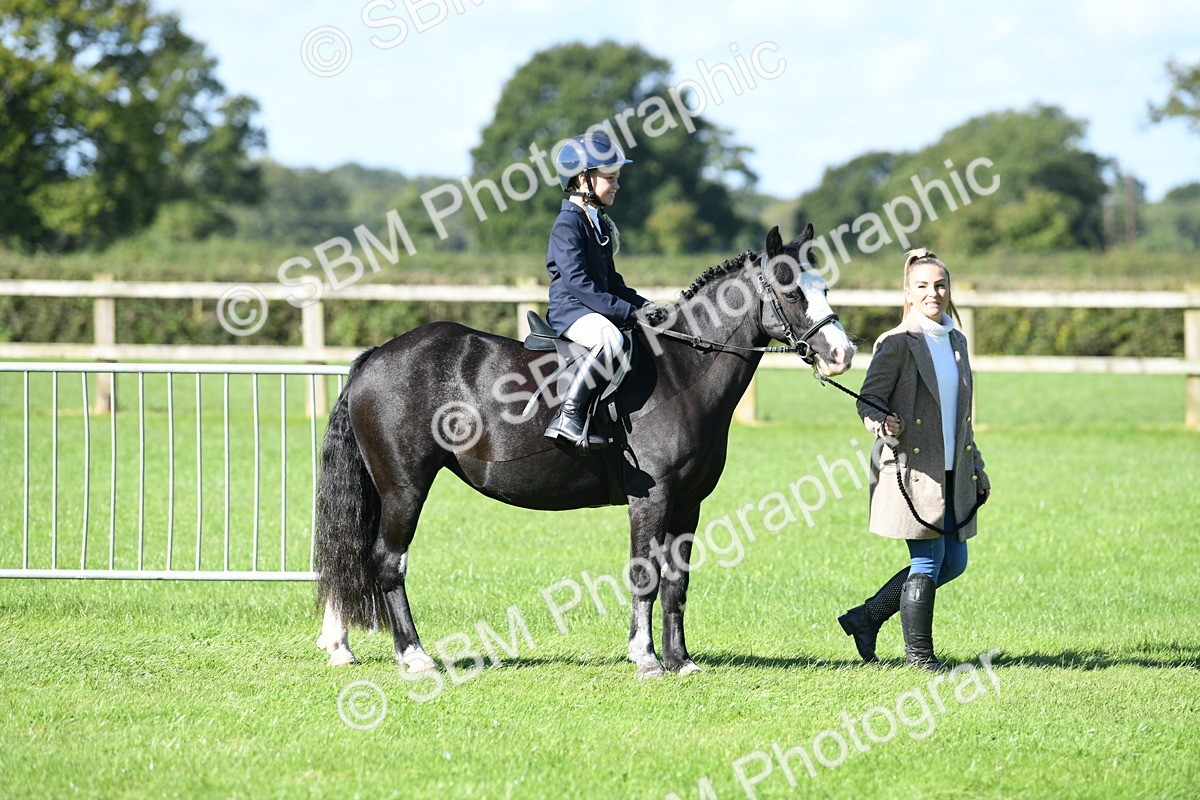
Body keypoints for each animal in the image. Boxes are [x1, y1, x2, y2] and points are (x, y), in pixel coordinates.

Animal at [314, 224, 856, 678]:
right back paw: (416, 657)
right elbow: (644, 575)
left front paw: (681, 661)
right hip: (404, 488)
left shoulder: (688, 503)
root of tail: (376, 356)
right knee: (388, 562)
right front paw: (646, 659)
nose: (843, 354)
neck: (679, 370)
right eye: (791, 290)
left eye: (825, 288)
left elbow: (676, 582)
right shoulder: (651, 500)